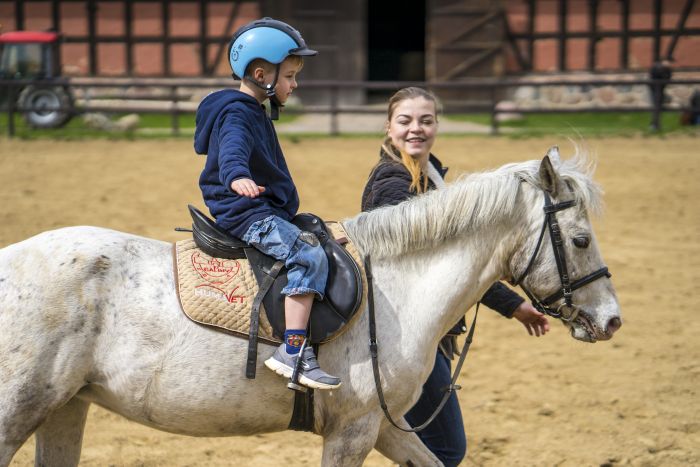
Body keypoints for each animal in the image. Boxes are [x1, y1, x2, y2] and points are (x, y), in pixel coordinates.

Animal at [1, 151, 624, 467]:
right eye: (581, 240)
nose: (612, 319)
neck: (400, 287)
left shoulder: (383, 426)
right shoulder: (352, 430)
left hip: (65, 408)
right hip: (18, 410)